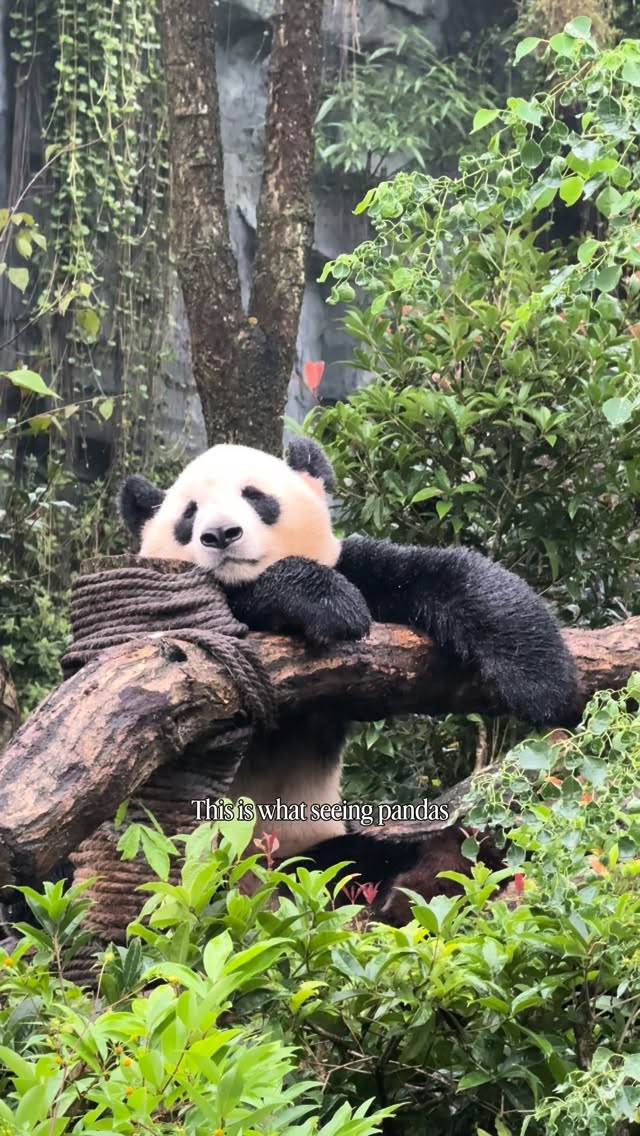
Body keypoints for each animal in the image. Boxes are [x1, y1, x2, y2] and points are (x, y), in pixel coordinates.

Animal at [118, 437, 579, 899]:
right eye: (189, 514)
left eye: (256, 496)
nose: (220, 534)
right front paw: (326, 601)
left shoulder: (358, 571)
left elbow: (431, 572)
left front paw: (542, 678)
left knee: (371, 856)